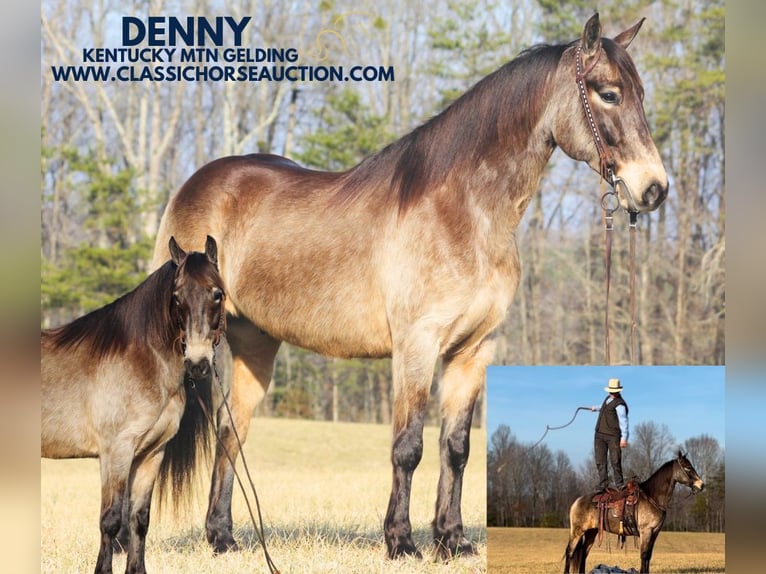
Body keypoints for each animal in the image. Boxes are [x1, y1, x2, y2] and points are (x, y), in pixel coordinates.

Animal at [41, 238, 230, 574]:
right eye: (176, 296)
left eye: (217, 293)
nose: (197, 363)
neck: (141, 358)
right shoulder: (116, 452)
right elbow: (111, 520)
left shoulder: (151, 453)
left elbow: (139, 519)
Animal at [153, 13, 668, 564]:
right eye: (608, 93)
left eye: (641, 93)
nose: (654, 189)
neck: (463, 212)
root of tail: (194, 185)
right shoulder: (416, 345)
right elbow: (408, 447)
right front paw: (400, 542)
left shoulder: (473, 351)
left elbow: (456, 449)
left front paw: (452, 539)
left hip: (254, 343)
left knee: (230, 432)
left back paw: (222, 537)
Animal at [564, 454, 708, 574]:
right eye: (688, 468)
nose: (701, 485)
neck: (652, 497)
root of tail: (577, 501)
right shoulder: (646, 531)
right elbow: (643, 555)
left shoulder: (654, 532)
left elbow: (648, 556)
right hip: (577, 532)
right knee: (570, 553)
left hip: (591, 532)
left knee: (583, 554)